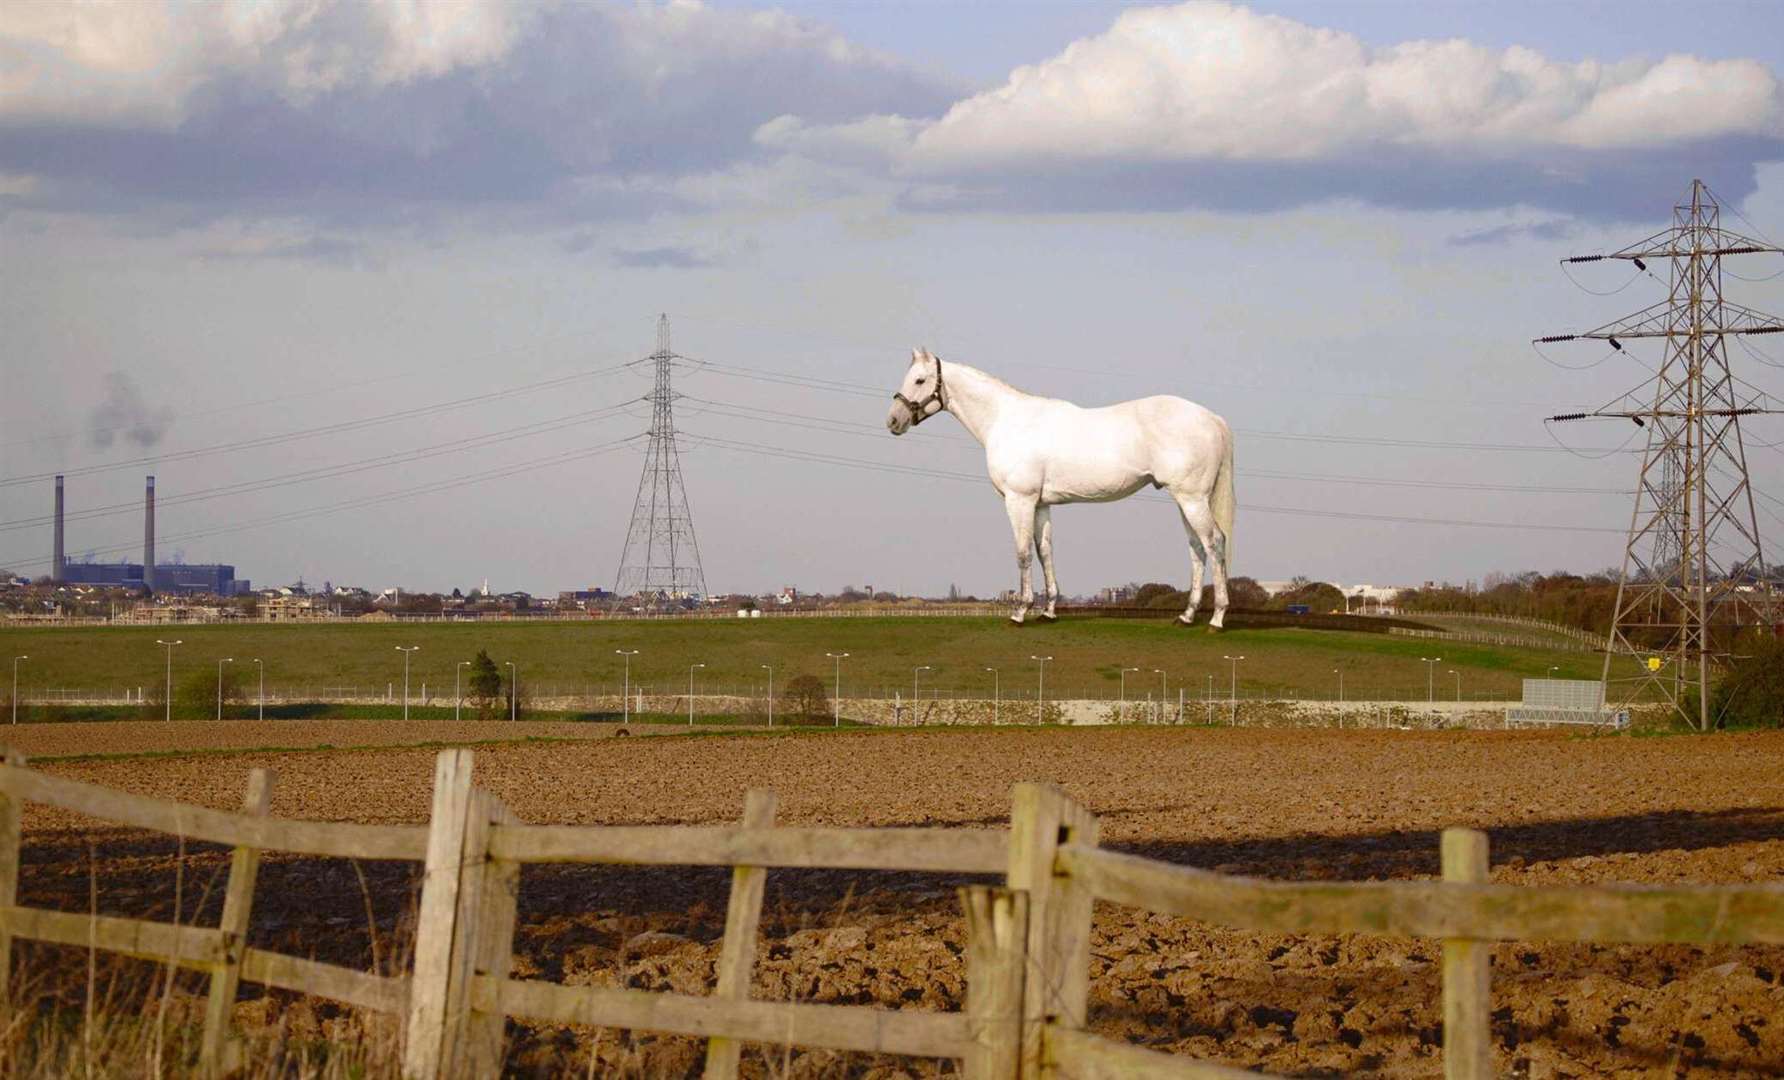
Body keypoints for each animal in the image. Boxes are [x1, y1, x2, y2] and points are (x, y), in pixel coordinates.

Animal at [884, 349, 1234, 628]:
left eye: (919, 380)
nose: (893, 421)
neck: (1007, 420)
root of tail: (1213, 419)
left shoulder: (1019, 500)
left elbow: (1023, 553)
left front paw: (1020, 612)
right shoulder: (1041, 504)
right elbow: (1044, 551)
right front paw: (1048, 610)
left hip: (1192, 499)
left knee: (1214, 543)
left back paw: (1216, 619)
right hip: (1185, 500)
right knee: (1196, 549)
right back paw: (1186, 616)